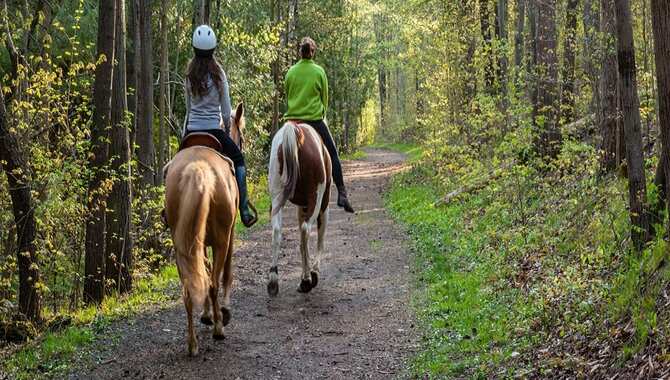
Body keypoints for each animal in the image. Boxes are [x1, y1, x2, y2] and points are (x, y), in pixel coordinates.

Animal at [165, 103, 247, 356]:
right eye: (242, 134)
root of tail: (197, 167)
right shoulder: (230, 234)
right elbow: (225, 273)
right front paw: (223, 311)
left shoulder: (197, 242)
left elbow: (204, 269)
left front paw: (207, 314)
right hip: (221, 238)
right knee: (212, 283)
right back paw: (219, 329)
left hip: (181, 243)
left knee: (188, 290)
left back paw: (192, 344)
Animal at [266, 120, 332, 296]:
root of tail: (294, 130)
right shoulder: (323, 205)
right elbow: (319, 239)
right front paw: (313, 272)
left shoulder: (302, 207)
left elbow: (302, 245)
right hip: (317, 198)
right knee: (306, 229)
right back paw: (307, 280)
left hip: (276, 195)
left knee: (277, 231)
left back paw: (273, 281)